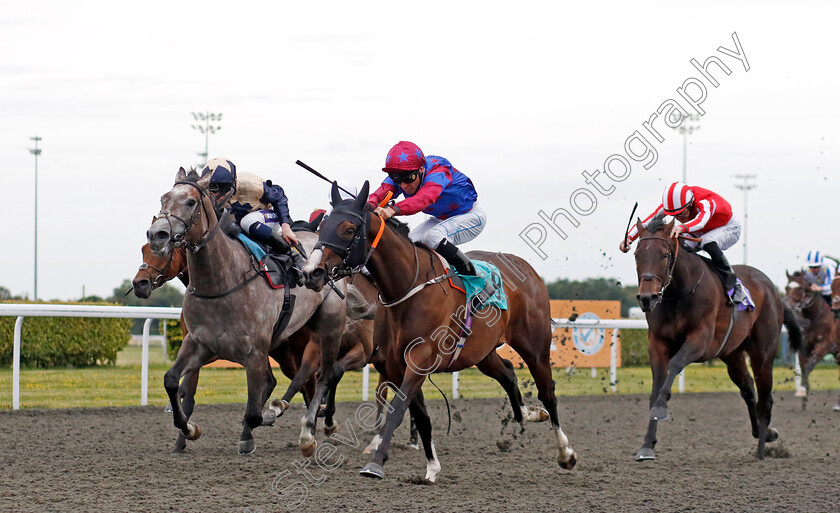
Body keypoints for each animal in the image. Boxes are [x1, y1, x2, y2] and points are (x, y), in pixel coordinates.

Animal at [148, 166, 364, 454]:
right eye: (163, 198)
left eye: (191, 202)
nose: (157, 235)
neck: (222, 282)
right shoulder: (199, 343)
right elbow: (172, 380)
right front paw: (189, 429)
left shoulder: (254, 352)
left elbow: (253, 413)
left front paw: (263, 421)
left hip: (328, 327)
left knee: (324, 375)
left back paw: (310, 432)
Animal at [306, 182, 576, 482]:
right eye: (323, 225)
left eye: (349, 229)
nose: (312, 272)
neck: (408, 287)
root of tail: (527, 269)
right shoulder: (396, 363)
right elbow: (420, 414)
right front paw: (432, 466)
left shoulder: (420, 358)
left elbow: (398, 410)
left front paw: (375, 464)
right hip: (482, 353)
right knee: (507, 372)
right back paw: (529, 414)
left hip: (535, 346)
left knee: (547, 392)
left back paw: (565, 453)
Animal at [632, 214, 804, 462]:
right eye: (637, 255)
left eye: (664, 255)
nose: (647, 298)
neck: (679, 292)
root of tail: (774, 292)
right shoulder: (657, 343)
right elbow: (656, 387)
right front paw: (647, 445)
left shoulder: (700, 340)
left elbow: (675, 364)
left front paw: (661, 409)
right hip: (732, 354)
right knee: (748, 389)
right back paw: (765, 433)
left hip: (763, 353)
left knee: (765, 398)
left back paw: (762, 449)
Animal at [784, 270, 836, 410]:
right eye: (786, 287)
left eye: (800, 288)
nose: (787, 305)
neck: (815, 317)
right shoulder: (804, 348)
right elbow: (804, 369)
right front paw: (803, 400)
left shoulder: (824, 346)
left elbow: (809, 366)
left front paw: (802, 390)